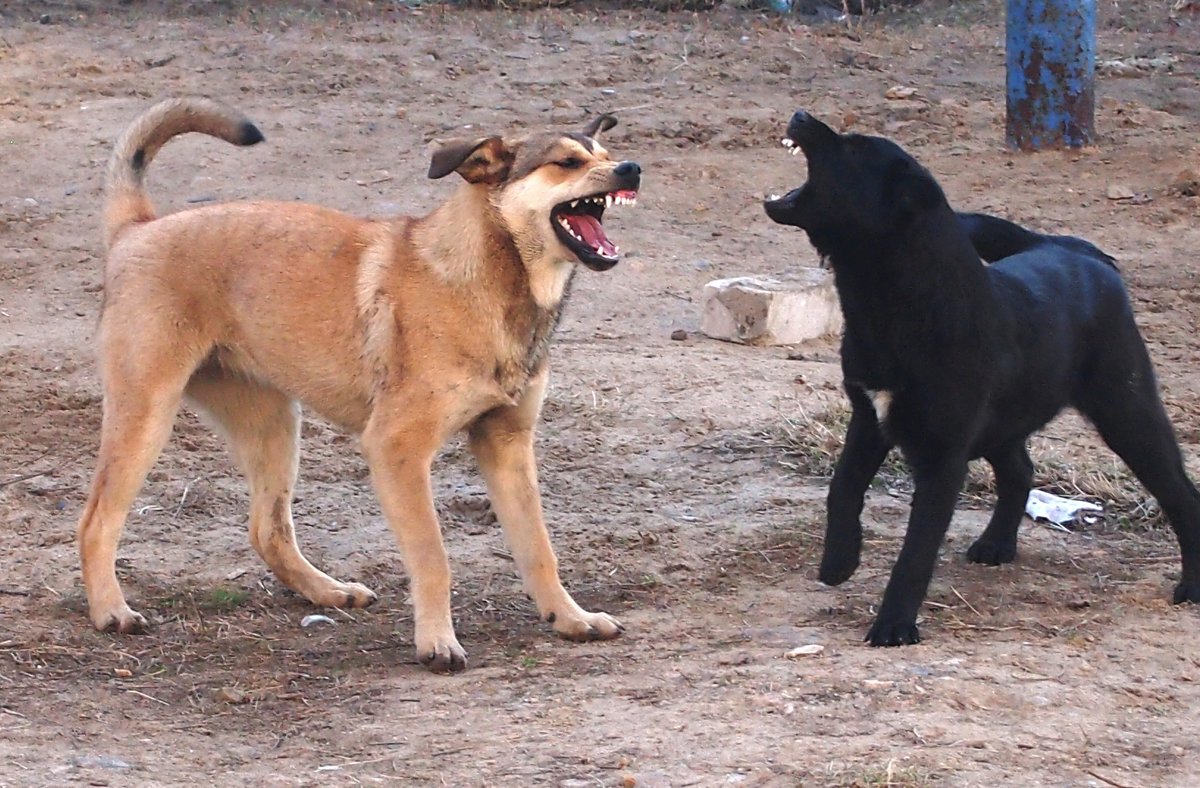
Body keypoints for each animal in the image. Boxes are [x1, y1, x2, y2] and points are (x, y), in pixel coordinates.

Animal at [79, 98, 643, 671]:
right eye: (567, 162)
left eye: (607, 154)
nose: (631, 169)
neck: (488, 276)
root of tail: (137, 228)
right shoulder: (398, 449)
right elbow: (433, 557)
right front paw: (437, 642)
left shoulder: (506, 445)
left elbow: (539, 549)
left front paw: (569, 618)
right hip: (146, 416)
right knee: (97, 520)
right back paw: (111, 611)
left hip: (273, 425)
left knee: (268, 530)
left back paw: (327, 591)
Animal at [763, 110, 1195, 647]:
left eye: (854, 148)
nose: (801, 115)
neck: (896, 305)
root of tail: (1077, 251)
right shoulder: (868, 418)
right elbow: (842, 487)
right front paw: (839, 561)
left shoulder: (943, 457)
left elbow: (916, 551)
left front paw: (894, 624)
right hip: (1005, 420)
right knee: (1021, 470)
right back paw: (996, 543)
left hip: (1126, 412)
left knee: (1181, 492)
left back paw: (1193, 585)